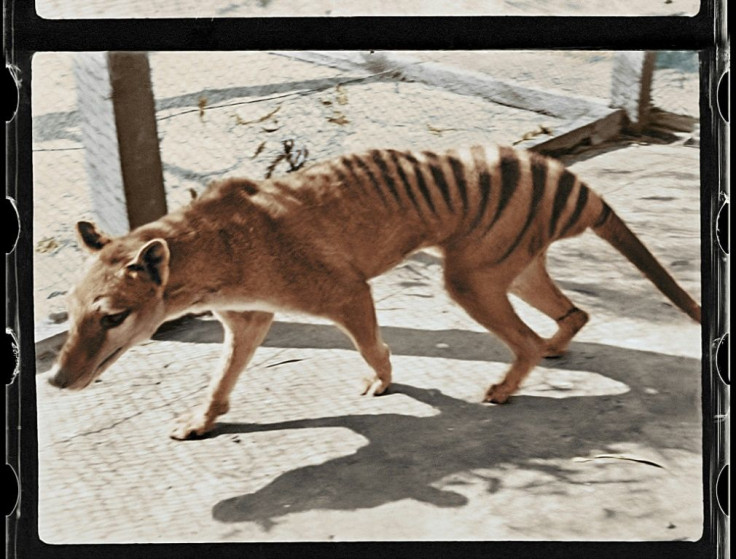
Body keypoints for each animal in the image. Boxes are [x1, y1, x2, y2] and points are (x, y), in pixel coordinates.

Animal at [47, 145, 700, 442]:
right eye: (70, 312)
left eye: (112, 317)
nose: (54, 380)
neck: (217, 246)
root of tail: (570, 181)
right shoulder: (249, 321)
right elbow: (221, 380)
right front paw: (202, 420)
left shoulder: (345, 293)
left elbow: (371, 345)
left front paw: (380, 382)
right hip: (508, 269)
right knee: (573, 314)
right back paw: (555, 348)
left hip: (470, 278)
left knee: (528, 339)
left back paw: (507, 385)